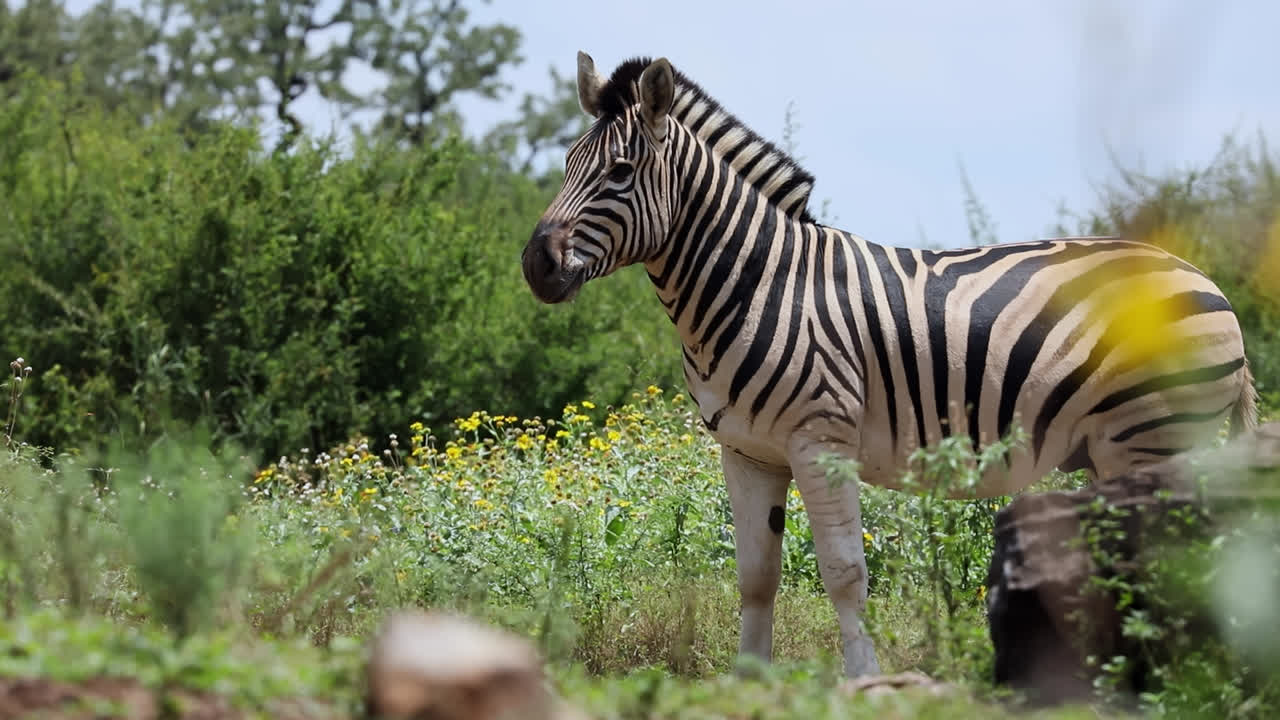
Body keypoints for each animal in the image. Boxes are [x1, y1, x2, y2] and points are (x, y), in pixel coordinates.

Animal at [520, 52, 1258, 678]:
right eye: (566, 161)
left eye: (619, 172)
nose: (535, 265)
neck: (754, 282)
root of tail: (1209, 283)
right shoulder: (748, 451)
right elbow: (756, 577)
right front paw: (749, 683)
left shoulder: (820, 438)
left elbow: (845, 572)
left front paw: (865, 683)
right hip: (1122, 452)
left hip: (1157, 439)